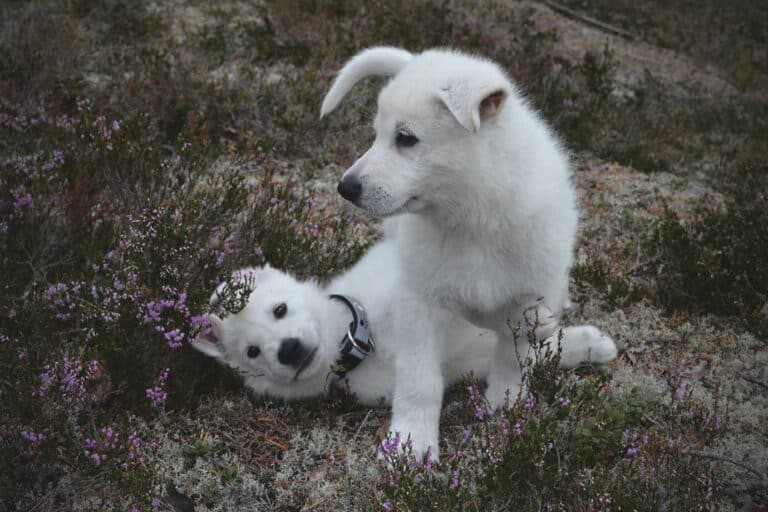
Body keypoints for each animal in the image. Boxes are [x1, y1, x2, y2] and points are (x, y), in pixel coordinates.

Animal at [192, 234, 616, 458]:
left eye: (279, 309)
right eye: (252, 352)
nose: (289, 350)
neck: (361, 340)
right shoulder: (462, 360)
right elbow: (528, 355)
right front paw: (586, 346)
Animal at [320, 48, 616, 456]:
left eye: (405, 138)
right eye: (376, 134)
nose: (345, 187)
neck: (471, 216)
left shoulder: (528, 296)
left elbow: (513, 350)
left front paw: (505, 401)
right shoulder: (420, 302)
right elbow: (420, 380)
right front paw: (411, 443)